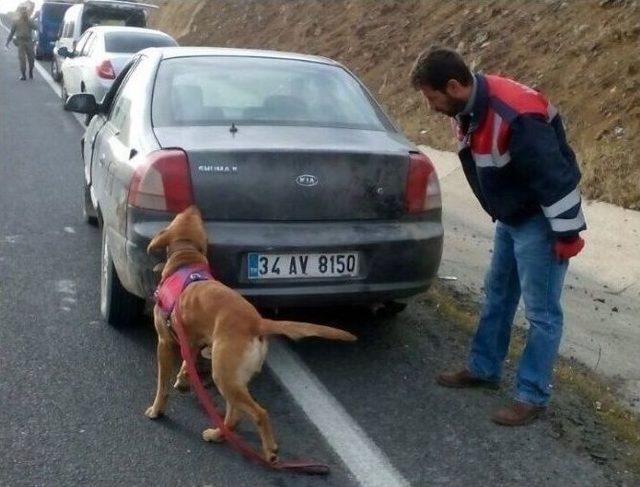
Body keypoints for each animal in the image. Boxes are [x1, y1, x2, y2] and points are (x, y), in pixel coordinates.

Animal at [142, 205, 358, 462]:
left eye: (178, 217)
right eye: (195, 218)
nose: (193, 207)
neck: (185, 260)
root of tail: (258, 322)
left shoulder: (164, 343)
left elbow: (162, 386)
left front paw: (156, 409)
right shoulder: (193, 341)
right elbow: (187, 362)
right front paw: (184, 380)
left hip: (223, 375)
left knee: (258, 412)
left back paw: (269, 450)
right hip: (231, 376)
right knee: (234, 415)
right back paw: (218, 434)